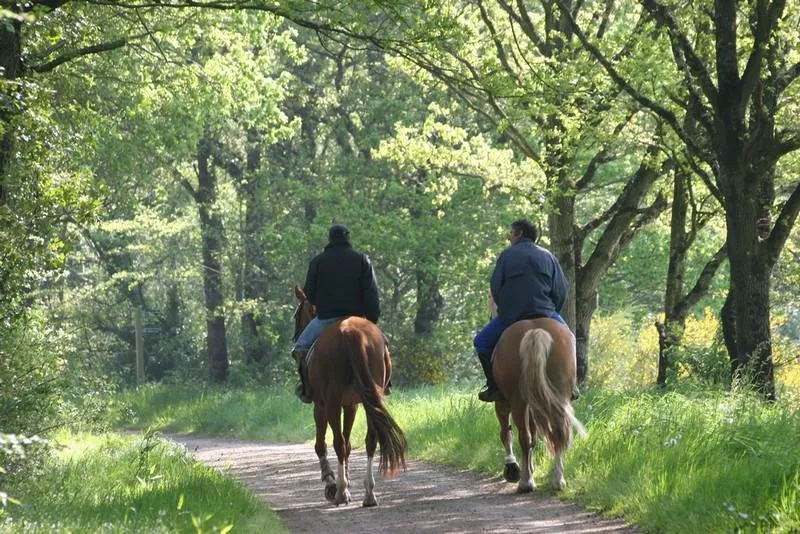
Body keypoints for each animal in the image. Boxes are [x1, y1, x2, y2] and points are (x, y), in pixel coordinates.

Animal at [292, 286, 406, 508]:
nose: (295, 337)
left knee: (338, 442)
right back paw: (369, 493)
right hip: (370, 400)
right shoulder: (352, 405)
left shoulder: (321, 406)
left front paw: (331, 483)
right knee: (370, 440)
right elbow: (350, 444)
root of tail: (351, 333)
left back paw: (340, 492)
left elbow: (322, 444)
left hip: (332, 403)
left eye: (296, 315)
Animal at [490, 318, 584, 494]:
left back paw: (526, 482)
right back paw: (558, 480)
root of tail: (536, 331)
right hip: (558, 395)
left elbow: (506, 433)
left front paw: (513, 467)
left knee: (523, 437)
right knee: (557, 433)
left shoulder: (502, 403)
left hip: (517, 400)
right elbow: (533, 436)